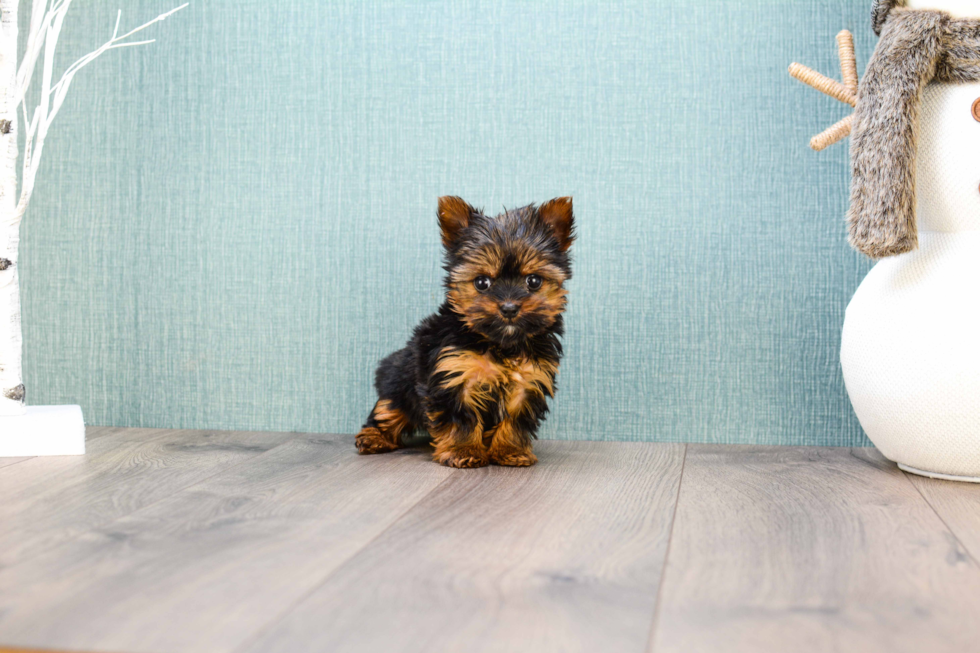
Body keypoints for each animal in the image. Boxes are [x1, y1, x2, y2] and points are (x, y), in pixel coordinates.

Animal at [356, 196, 576, 466]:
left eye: (533, 281)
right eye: (482, 282)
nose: (509, 307)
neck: (501, 343)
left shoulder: (528, 381)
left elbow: (515, 421)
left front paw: (510, 450)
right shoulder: (454, 375)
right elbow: (461, 419)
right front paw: (463, 450)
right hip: (398, 382)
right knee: (388, 410)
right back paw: (374, 437)